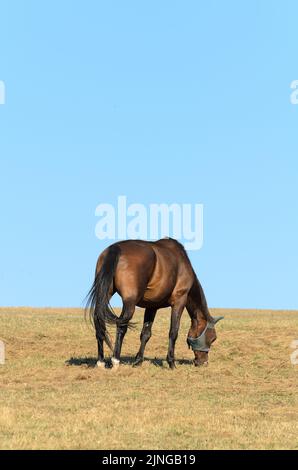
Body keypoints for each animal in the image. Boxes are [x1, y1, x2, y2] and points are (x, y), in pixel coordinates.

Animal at [85, 241, 222, 370]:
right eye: (212, 338)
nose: (203, 362)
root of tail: (116, 248)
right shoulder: (179, 302)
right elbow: (173, 332)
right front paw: (171, 362)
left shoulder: (152, 307)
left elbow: (145, 334)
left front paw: (138, 361)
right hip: (130, 303)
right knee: (121, 326)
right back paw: (115, 360)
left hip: (105, 295)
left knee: (99, 323)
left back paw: (101, 361)